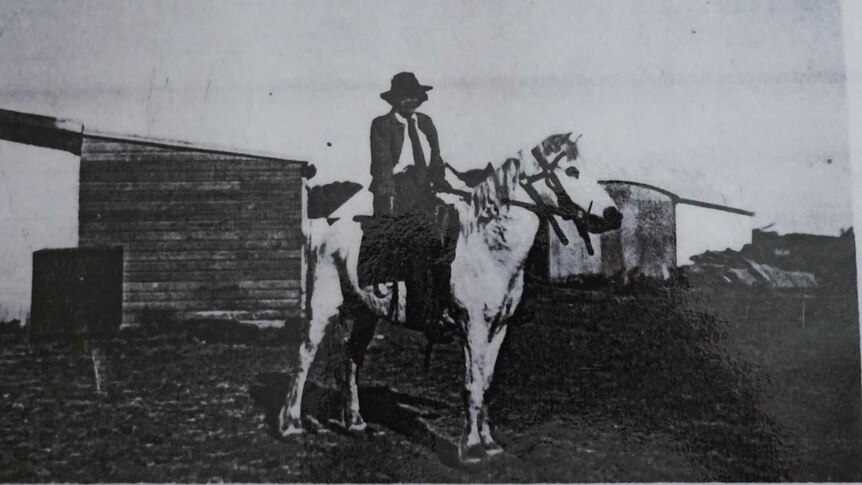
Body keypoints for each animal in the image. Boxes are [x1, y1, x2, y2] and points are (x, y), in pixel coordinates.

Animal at [280, 132, 624, 466]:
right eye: (572, 170)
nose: (613, 215)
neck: (488, 248)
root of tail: (327, 225)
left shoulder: (498, 328)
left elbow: (485, 383)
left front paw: (489, 443)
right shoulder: (473, 328)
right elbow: (471, 385)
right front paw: (470, 449)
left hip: (365, 313)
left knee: (351, 358)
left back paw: (355, 423)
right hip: (323, 304)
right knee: (305, 354)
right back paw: (291, 424)